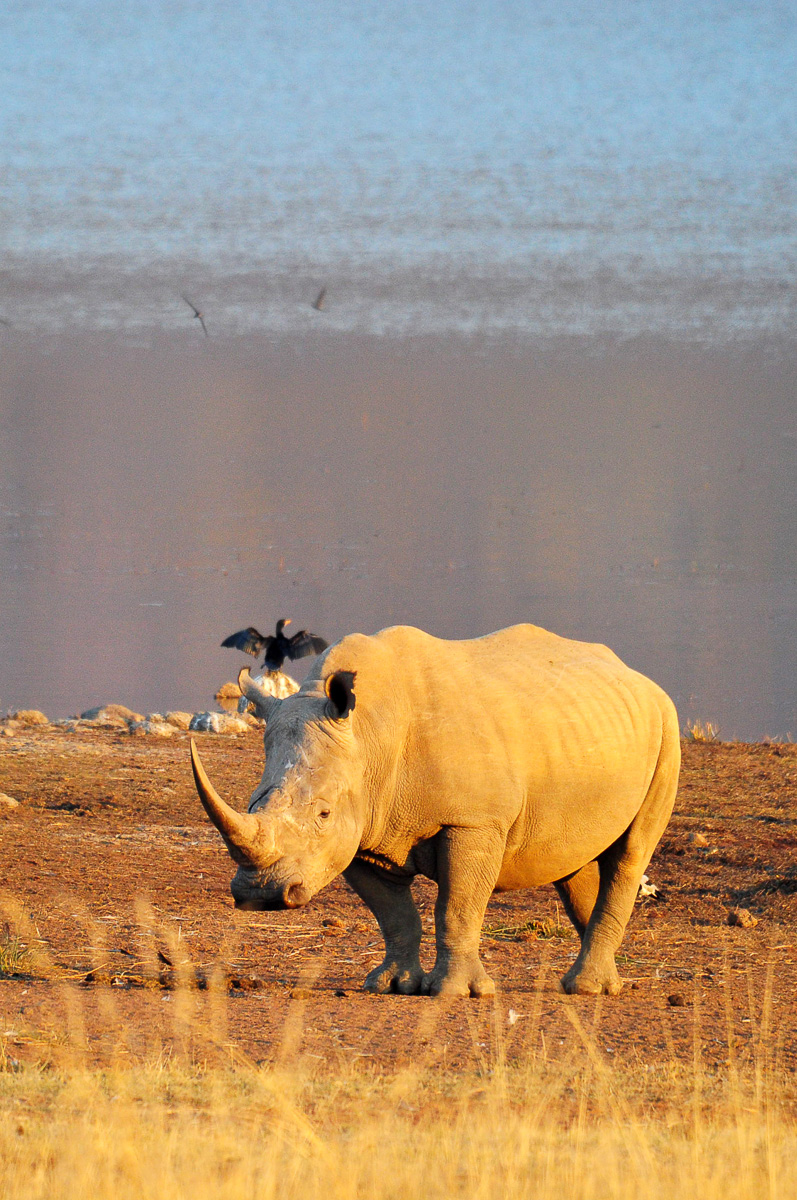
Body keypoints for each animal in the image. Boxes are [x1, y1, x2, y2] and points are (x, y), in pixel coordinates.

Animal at [191, 623, 680, 996]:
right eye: (254, 801)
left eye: (323, 814)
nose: (262, 895)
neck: (369, 733)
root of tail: (637, 676)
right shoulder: (362, 828)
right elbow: (394, 914)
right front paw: (392, 985)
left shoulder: (473, 821)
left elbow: (457, 906)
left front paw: (454, 993)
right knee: (573, 861)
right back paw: (594, 983)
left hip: (666, 725)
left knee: (630, 854)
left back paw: (587, 988)